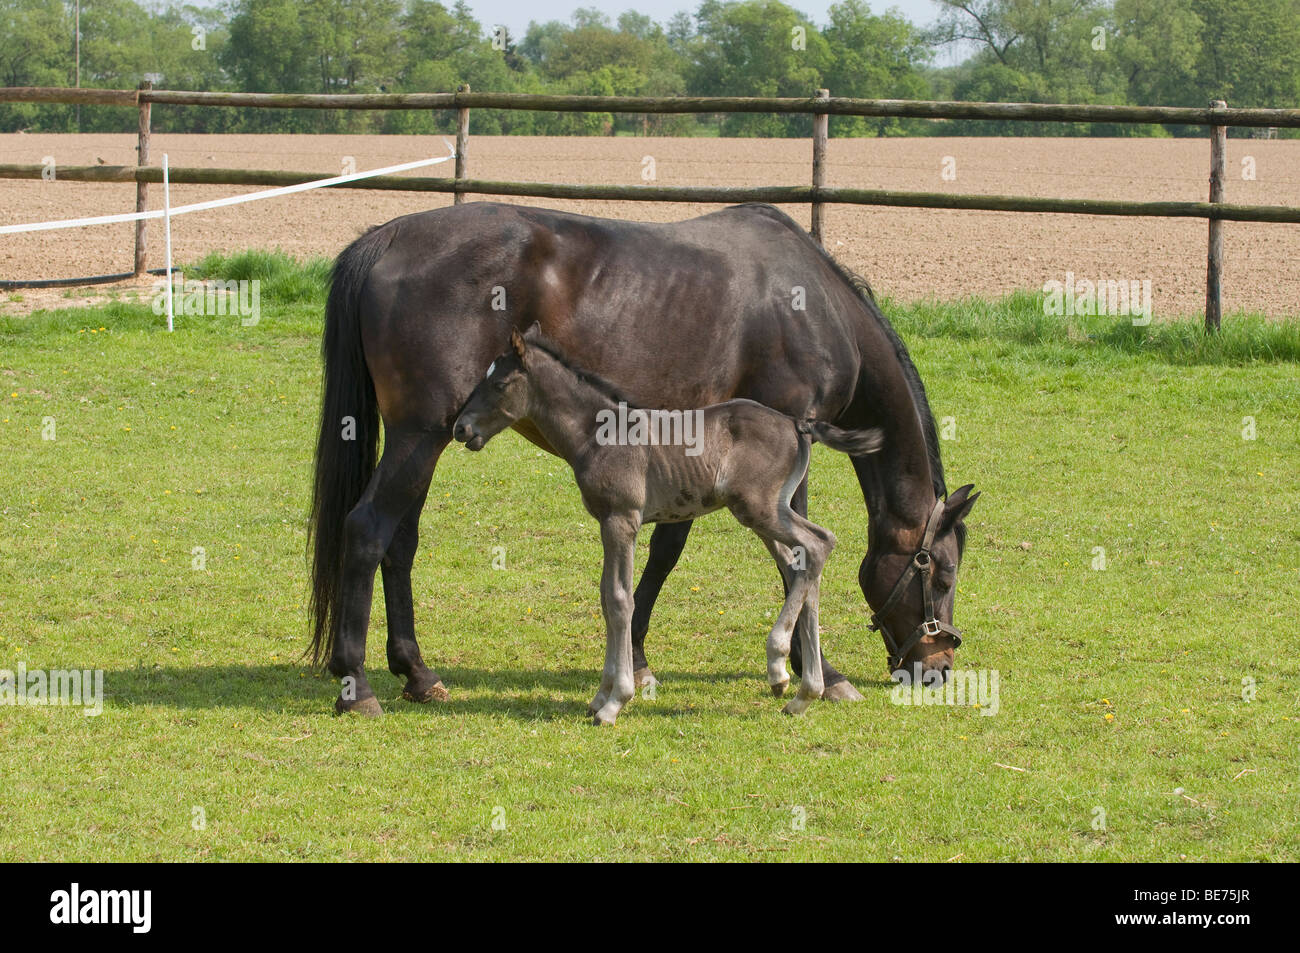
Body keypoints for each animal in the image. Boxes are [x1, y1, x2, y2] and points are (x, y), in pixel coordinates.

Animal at [452, 321, 889, 722]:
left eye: (499, 383)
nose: (461, 427)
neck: (598, 434)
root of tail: (798, 424)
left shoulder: (622, 520)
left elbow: (619, 600)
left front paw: (615, 701)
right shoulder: (607, 522)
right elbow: (605, 597)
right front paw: (600, 695)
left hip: (758, 508)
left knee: (818, 543)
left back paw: (782, 661)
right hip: (767, 512)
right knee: (802, 562)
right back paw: (799, 691)